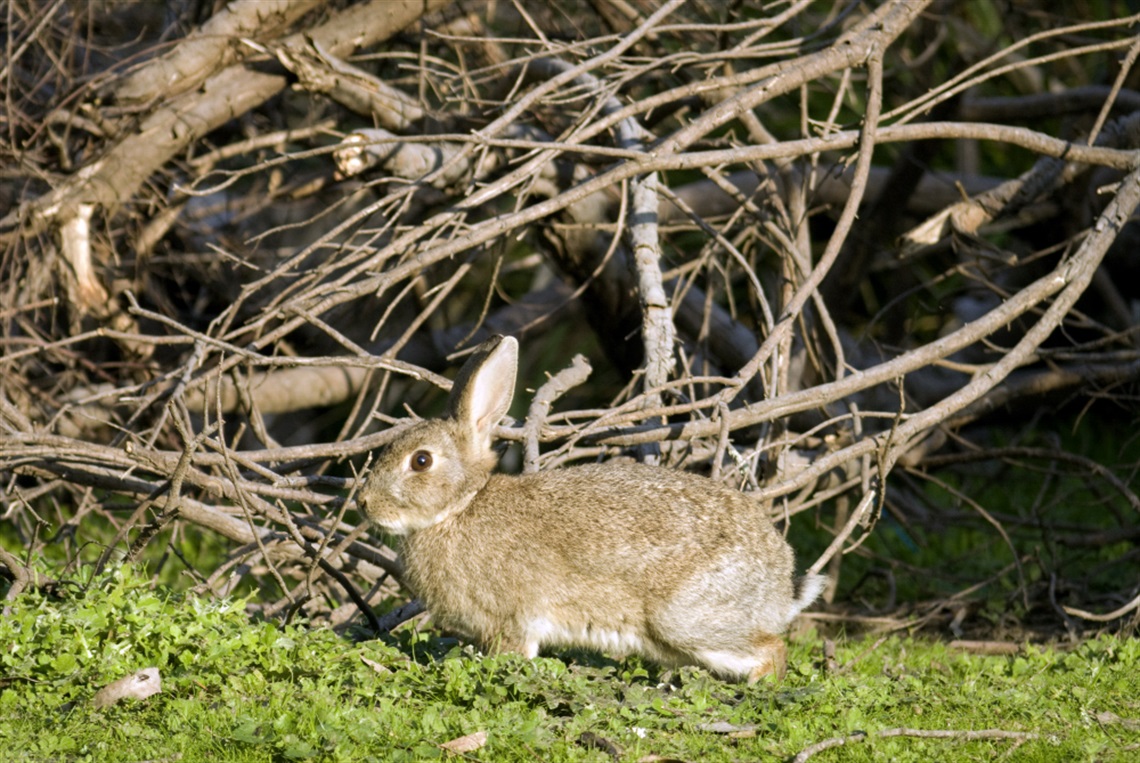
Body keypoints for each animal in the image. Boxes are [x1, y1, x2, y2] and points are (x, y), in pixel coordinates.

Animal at [360, 335, 825, 679]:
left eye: (421, 461)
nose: (365, 503)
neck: (459, 507)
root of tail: (780, 584)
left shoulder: (511, 620)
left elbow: (512, 651)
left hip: (688, 619)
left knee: (772, 648)